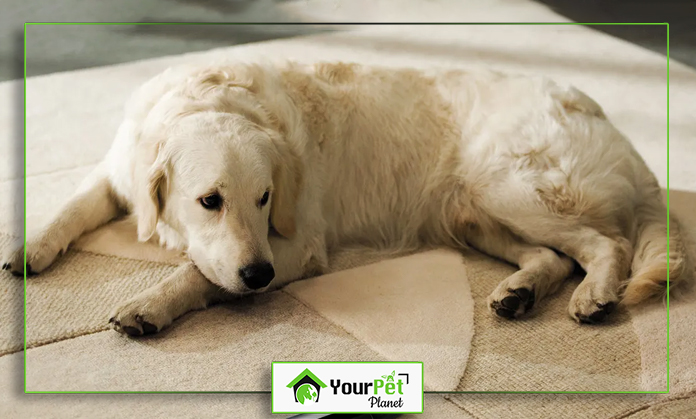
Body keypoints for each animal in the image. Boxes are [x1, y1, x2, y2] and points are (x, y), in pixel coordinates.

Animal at [5, 61, 692, 338]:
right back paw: (519, 293)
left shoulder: (296, 244)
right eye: (209, 200)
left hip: (511, 187)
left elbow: (198, 273)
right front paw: (27, 248)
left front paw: (149, 304)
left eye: (265, 197)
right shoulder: (118, 170)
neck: (208, 98)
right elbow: (70, 206)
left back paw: (594, 295)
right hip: (472, 210)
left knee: (605, 242)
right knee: (552, 255)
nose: (258, 276)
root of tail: (607, 118)